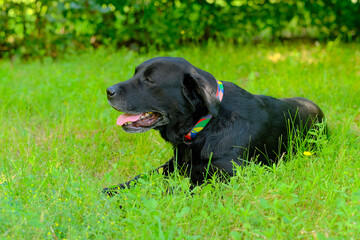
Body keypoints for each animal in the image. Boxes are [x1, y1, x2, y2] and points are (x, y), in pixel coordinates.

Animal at [102, 57, 324, 194]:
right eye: (135, 74)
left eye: (149, 80)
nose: (108, 91)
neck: (204, 126)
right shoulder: (173, 165)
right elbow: (142, 177)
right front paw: (112, 190)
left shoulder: (227, 176)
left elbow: (173, 189)